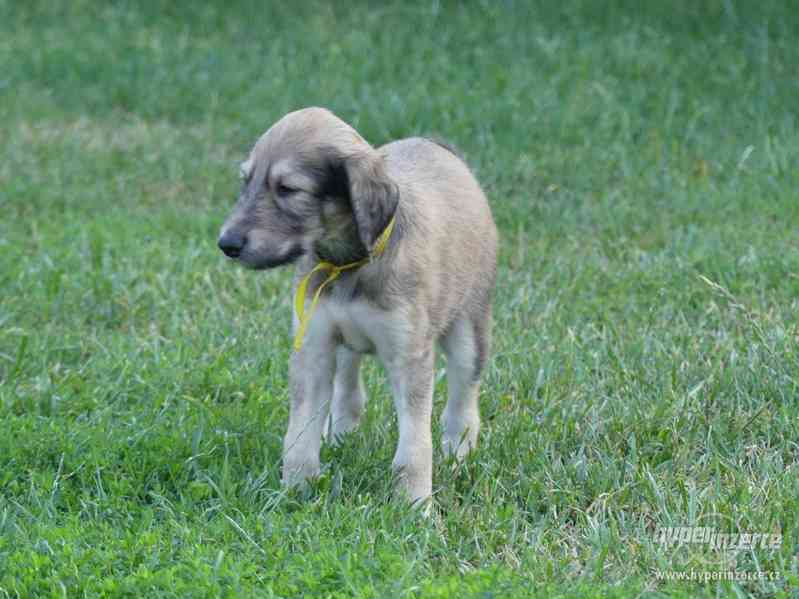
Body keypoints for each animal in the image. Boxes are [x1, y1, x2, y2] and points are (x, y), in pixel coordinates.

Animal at [216, 106, 496, 502]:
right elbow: (299, 434)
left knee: (463, 402)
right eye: (246, 181)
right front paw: (295, 491)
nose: (226, 244)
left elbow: (414, 447)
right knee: (348, 391)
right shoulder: (314, 346)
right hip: (345, 343)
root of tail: (440, 148)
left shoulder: (409, 356)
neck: (349, 262)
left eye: (288, 189)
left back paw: (458, 454)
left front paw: (414, 503)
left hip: (469, 329)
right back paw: (341, 439)